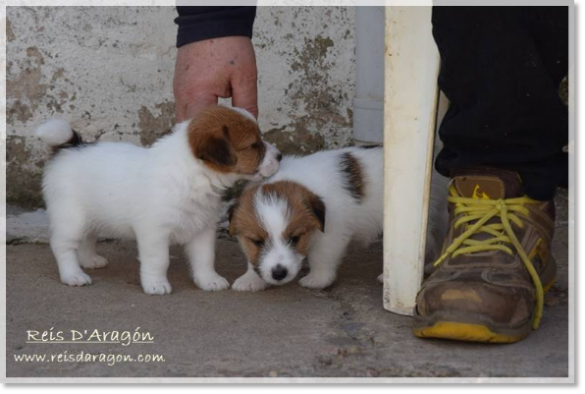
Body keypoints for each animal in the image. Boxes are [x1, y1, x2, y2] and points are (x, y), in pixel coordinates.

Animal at [36, 105, 280, 296]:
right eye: (254, 145)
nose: (279, 156)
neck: (192, 175)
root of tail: (70, 147)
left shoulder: (203, 229)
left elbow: (205, 258)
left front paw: (208, 280)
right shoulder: (154, 231)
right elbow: (159, 260)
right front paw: (156, 284)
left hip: (90, 215)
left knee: (87, 238)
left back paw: (90, 260)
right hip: (72, 218)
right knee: (63, 246)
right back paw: (73, 274)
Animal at [228, 146, 448, 290]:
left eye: (295, 239)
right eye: (257, 241)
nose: (279, 273)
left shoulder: (331, 234)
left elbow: (321, 256)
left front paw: (317, 279)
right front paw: (250, 279)